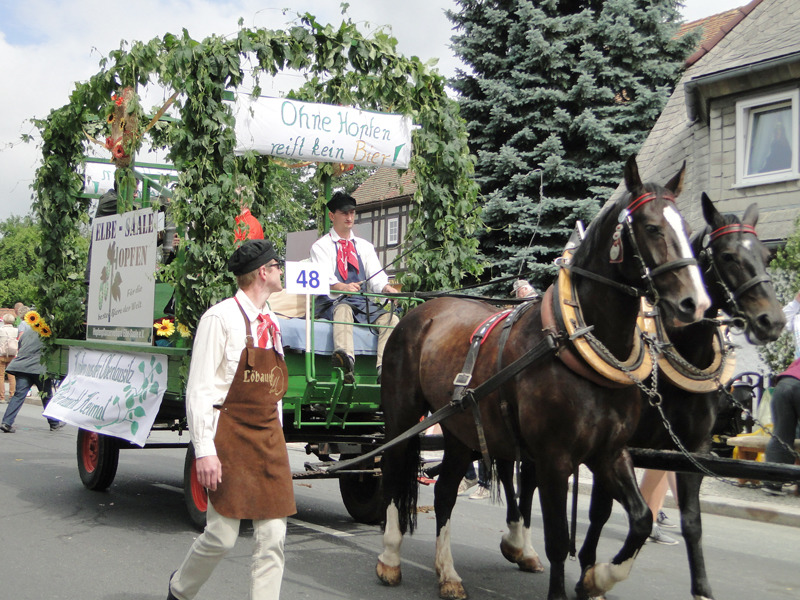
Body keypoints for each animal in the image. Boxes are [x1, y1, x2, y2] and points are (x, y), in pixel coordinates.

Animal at [376, 156, 708, 600]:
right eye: (652, 227)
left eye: (686, 229)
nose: (695, 303)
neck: (576, 345)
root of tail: (419, 311)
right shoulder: (554, 458)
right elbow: (556, 537)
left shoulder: (610, 453)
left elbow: (640, 519)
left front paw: (597, 577)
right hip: (403, 416)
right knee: (394, 471)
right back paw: (390, 558)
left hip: (461, 428)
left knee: (444, 493)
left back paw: (447, 573)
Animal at [576, 195, 788, 596]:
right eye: (727, 256)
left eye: (768, 257)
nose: (773, 321)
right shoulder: (614, 445)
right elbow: (602, 512)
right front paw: (592, 571)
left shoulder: (692, 449)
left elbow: (692, 522)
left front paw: (702, 588)